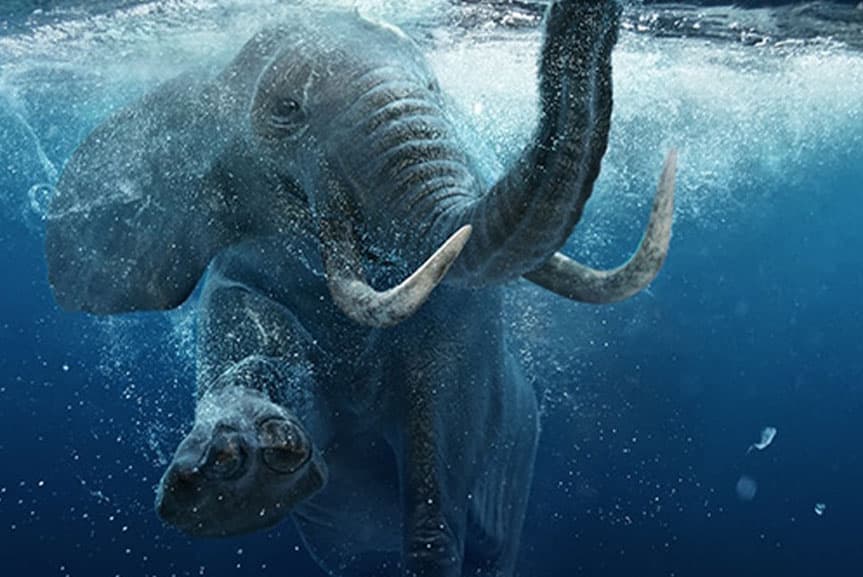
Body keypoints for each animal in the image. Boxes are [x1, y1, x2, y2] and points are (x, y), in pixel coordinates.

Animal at [45, 1, 675, 576]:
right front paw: (233, 474)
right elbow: (246, 345)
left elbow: (435, 490)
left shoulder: (462, 338)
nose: (594, 17)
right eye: (287, 110)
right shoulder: (241, 273)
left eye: (433, 87)